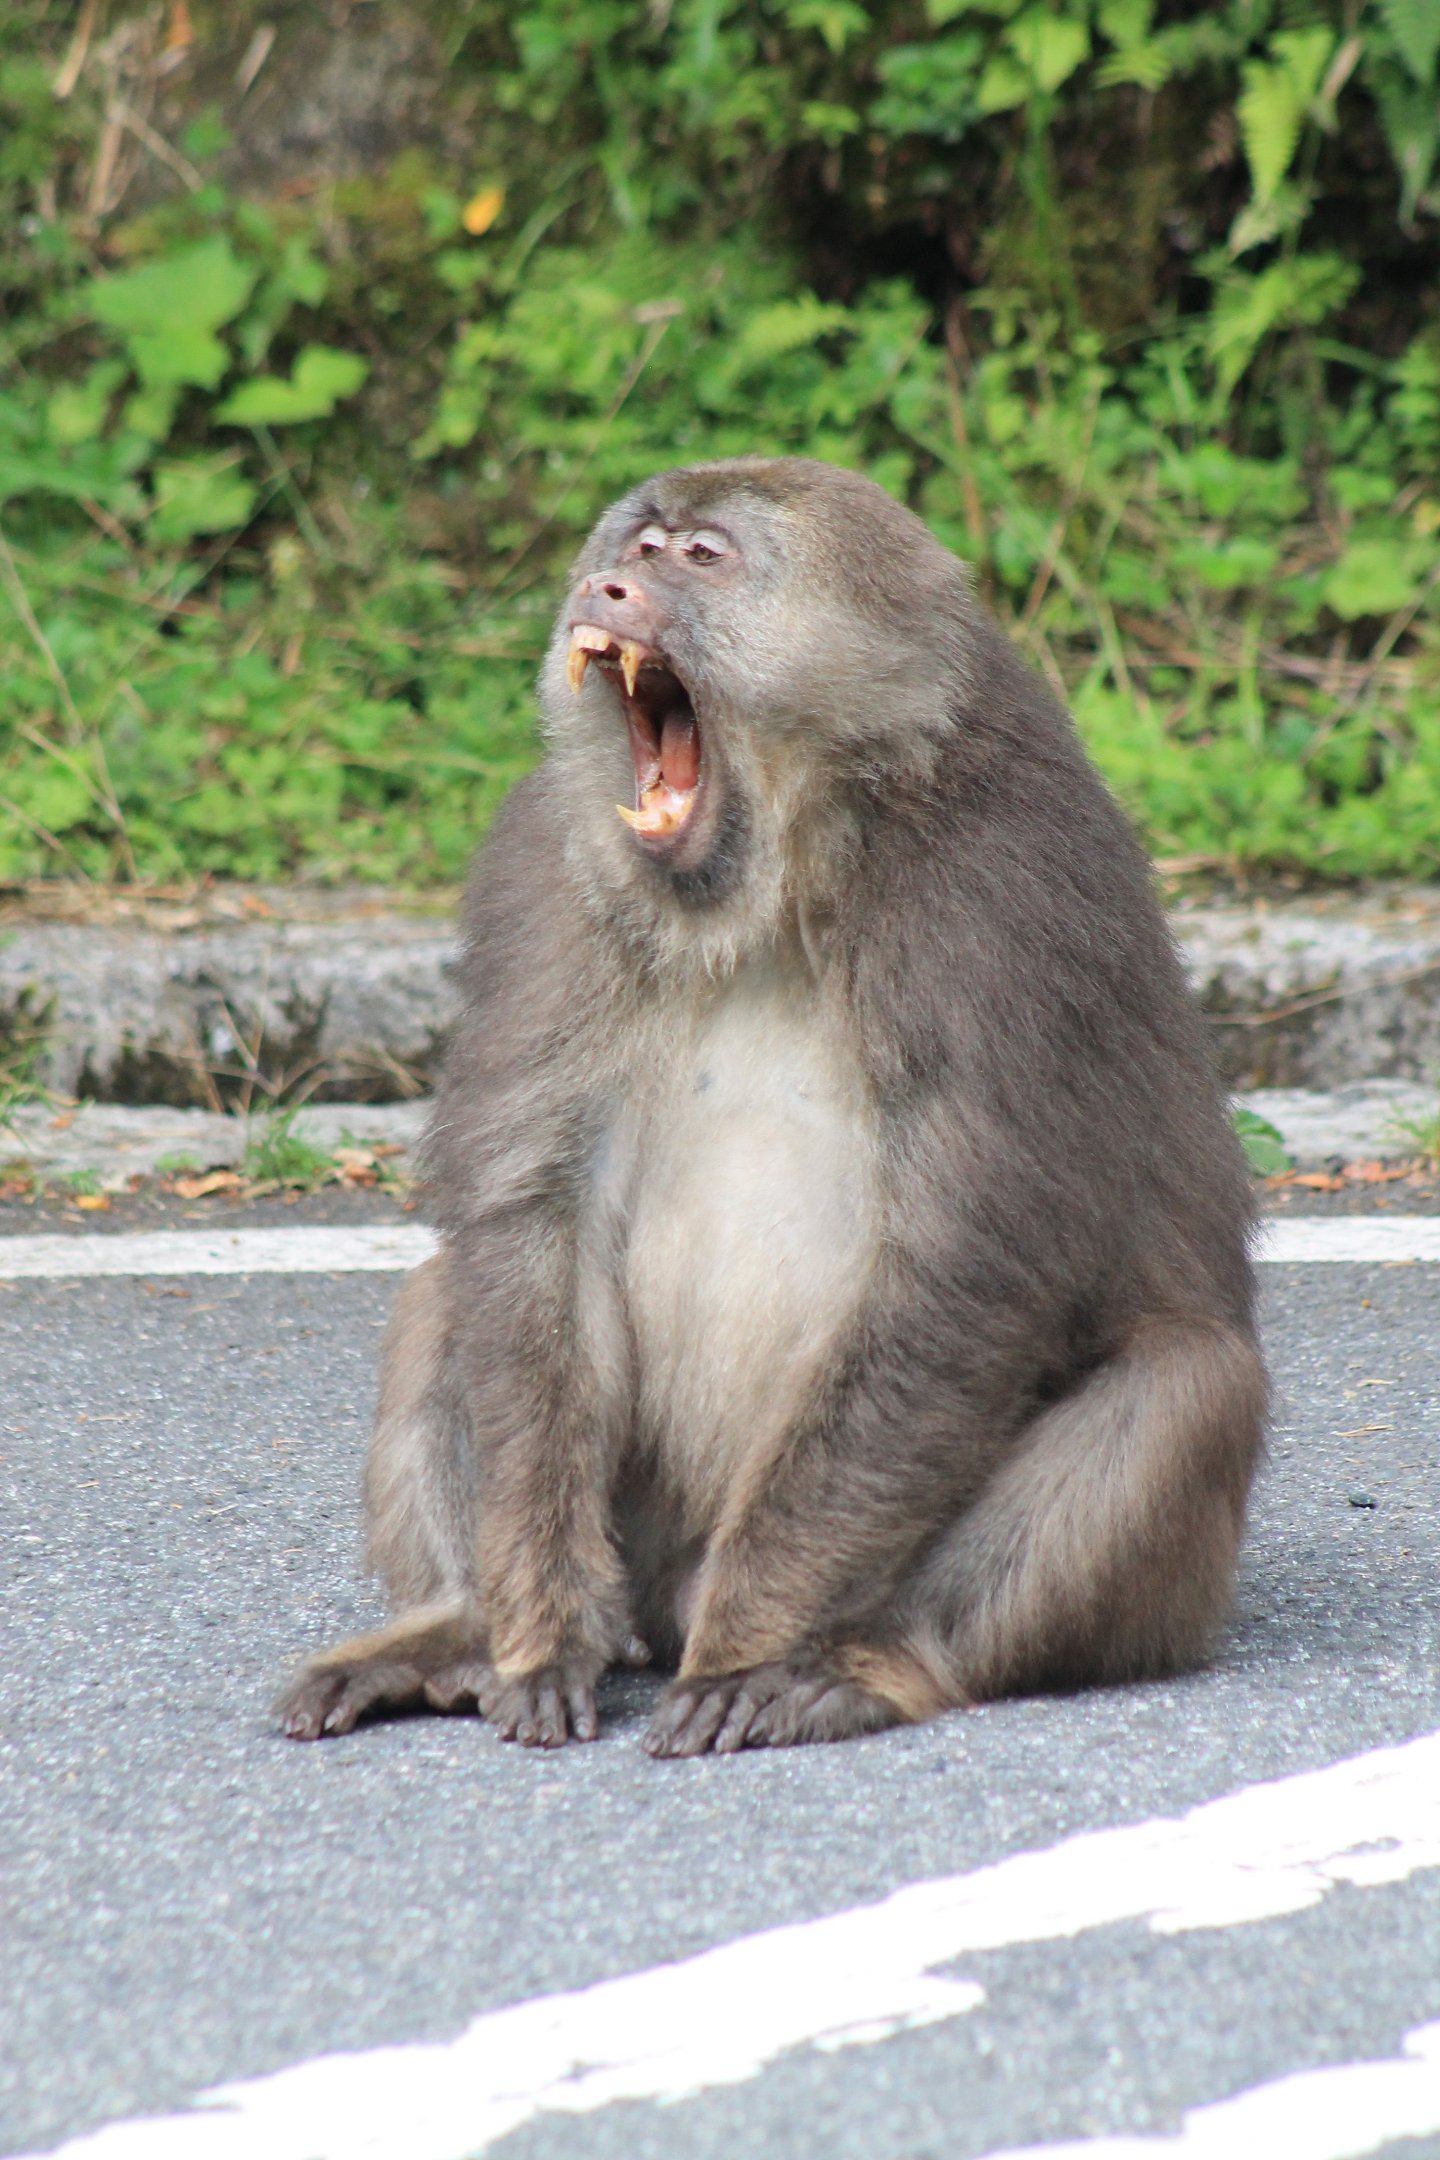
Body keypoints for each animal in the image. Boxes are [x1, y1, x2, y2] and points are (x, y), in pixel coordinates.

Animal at [275, 456, 1267, 1758]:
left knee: (1186, 1385)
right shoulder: (549, 879)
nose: (608, 586)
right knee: (452, 1288)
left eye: (702, 559)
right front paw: (539, 1629)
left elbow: (956, 1272)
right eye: (636, 545)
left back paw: (861, 1663)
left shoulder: (996, 907)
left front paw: (748, 1643)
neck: (782, 877)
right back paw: (455, 1631)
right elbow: (532, 1214)